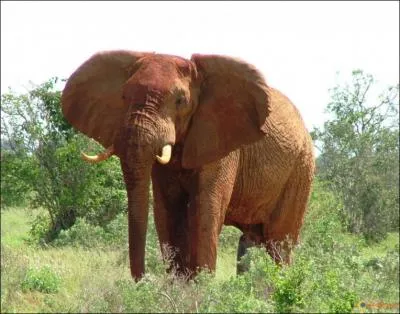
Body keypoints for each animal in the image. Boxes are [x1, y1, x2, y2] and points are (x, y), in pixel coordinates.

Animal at [61, 50, 314, 280]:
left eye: (180, 101)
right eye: (123, 96)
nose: (145, 280)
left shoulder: (220, 140)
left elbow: (205, 211)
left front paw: (201, 288)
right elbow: (167, 210)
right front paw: (180, 286)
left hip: (301, 169)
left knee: (279, 242)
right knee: (251, 241)